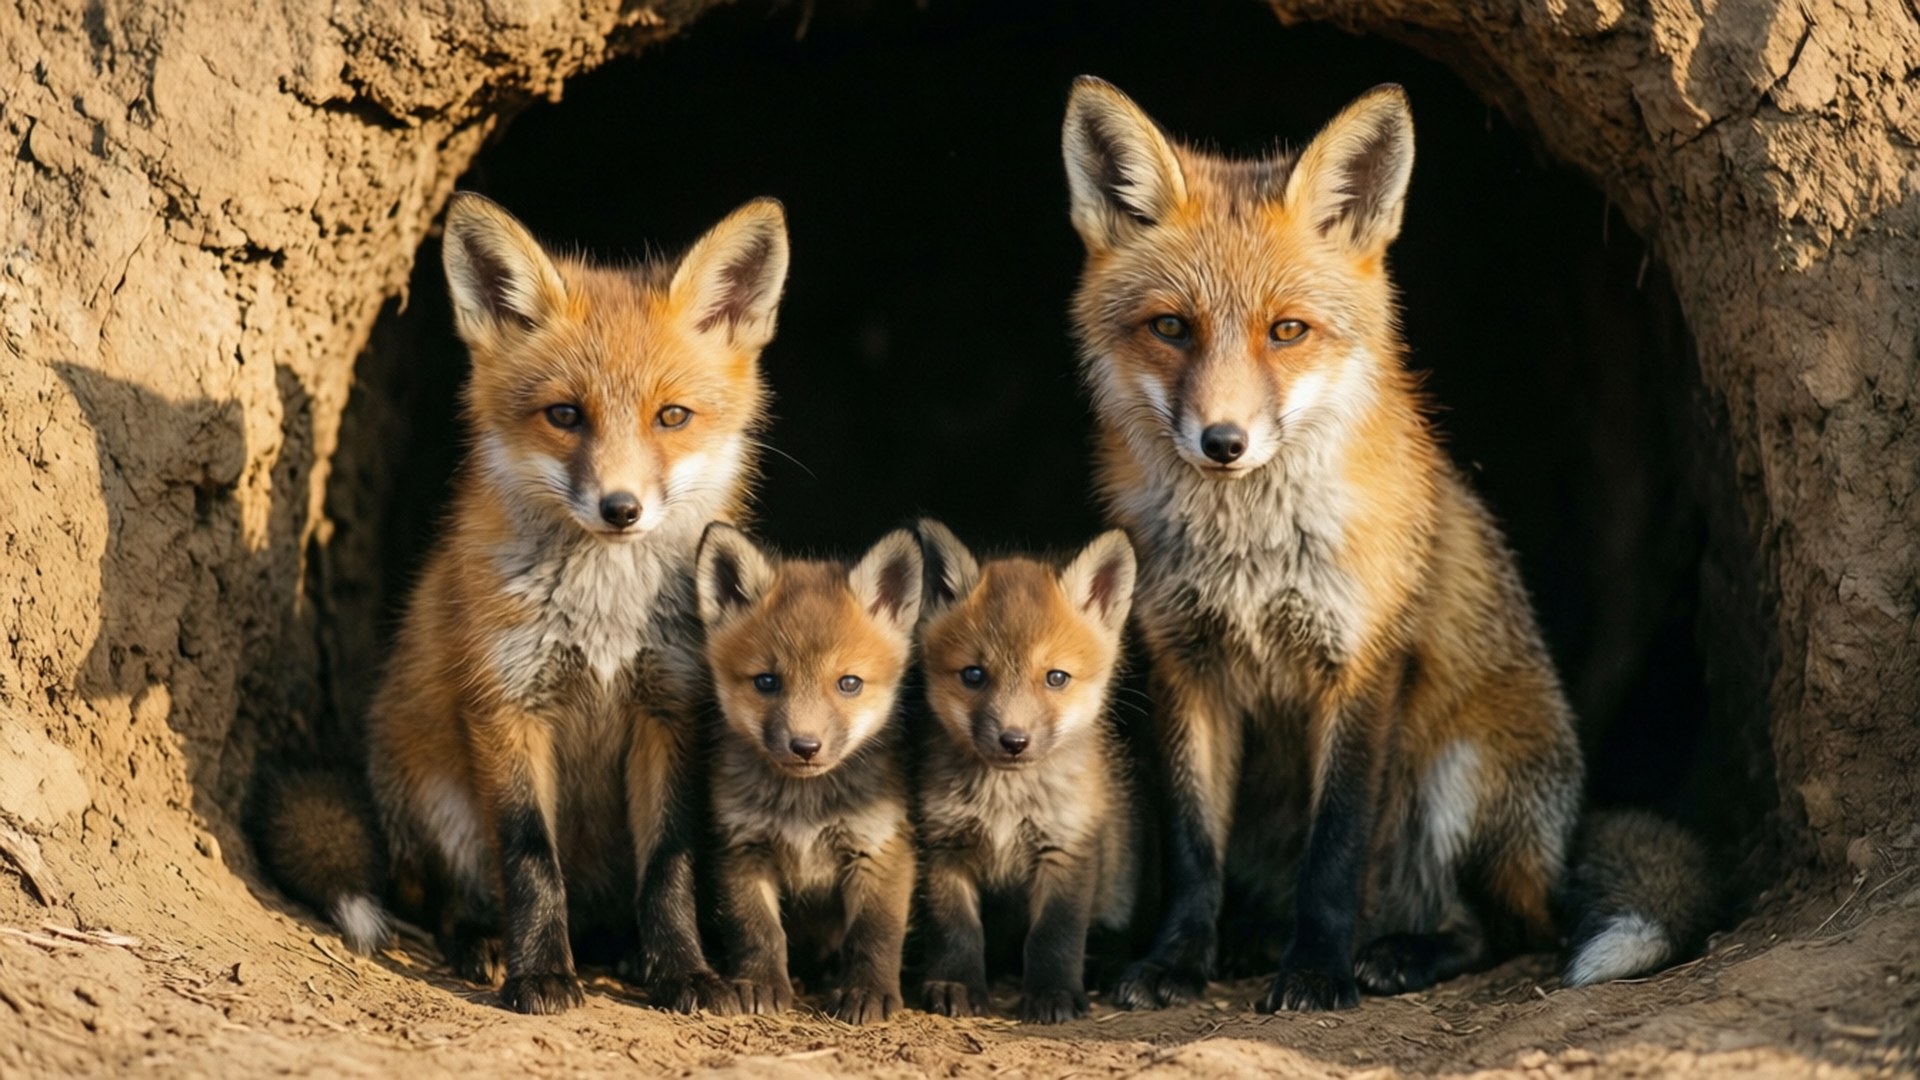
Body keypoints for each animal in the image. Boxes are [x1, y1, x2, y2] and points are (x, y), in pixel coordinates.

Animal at [254, 191, 790, 1015]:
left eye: (672, 417)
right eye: (565, 415)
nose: (621, 508)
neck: (603, 615)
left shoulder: (668, 707)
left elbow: (668, 864)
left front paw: (683, 972)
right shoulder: (507, 704)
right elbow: (531, 857)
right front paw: (539, 972)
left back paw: (622, 952)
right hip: (439, 802)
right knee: (449, 895)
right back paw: (483, 941)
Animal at [694, 524, 922, 1024]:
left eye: (849, 684)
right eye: (766, 682)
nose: (805, 746)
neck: (805, 806)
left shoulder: (878, 847)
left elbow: (875, 933)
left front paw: (867, 991)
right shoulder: (742, 848)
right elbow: (757, 929)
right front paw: (761, 984)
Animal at [911, 520, 1139, 1024]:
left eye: (1056, 678)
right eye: (974, 675)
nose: (1013, 741)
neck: (1007, 804)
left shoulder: (1067, 847)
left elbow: (1054, 936)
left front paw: (1053, 994)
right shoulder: (944, 846)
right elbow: (955, 928)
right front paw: (957, 984)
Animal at [1058, 77, 1716, 1013]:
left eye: (1287, 331)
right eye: (1172, 328)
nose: (1224, 442)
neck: (1250, 553)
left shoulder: (1361, 662)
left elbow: (1336, 849)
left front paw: (1316, 971)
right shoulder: (1186, 664)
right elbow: (1192, 851)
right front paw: (1177, 960)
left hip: (1456, 772)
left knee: (1506, 930)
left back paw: (1397, 953)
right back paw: (1260, 937)